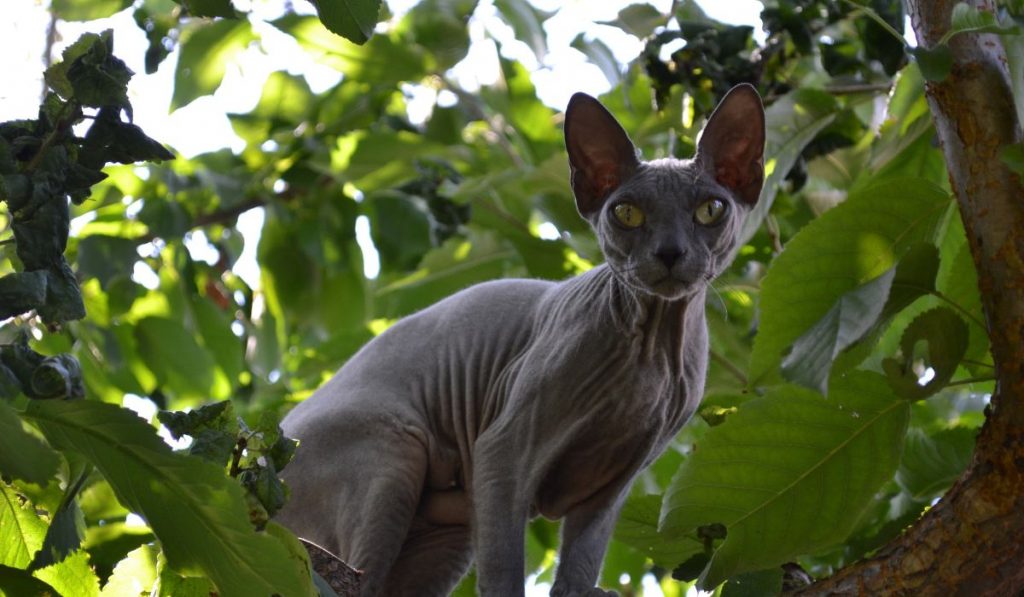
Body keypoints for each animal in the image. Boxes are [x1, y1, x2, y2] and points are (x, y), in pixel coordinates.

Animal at [276, 83, 765, 597]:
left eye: (710, 210)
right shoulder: (501, 452)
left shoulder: (612, 486)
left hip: (445, 535)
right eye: (627, 214)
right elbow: (504, 568)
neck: (651, 352)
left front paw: (580, 591)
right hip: (394, 451)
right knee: (358, 575)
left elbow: (581, 564)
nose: (670, 252)